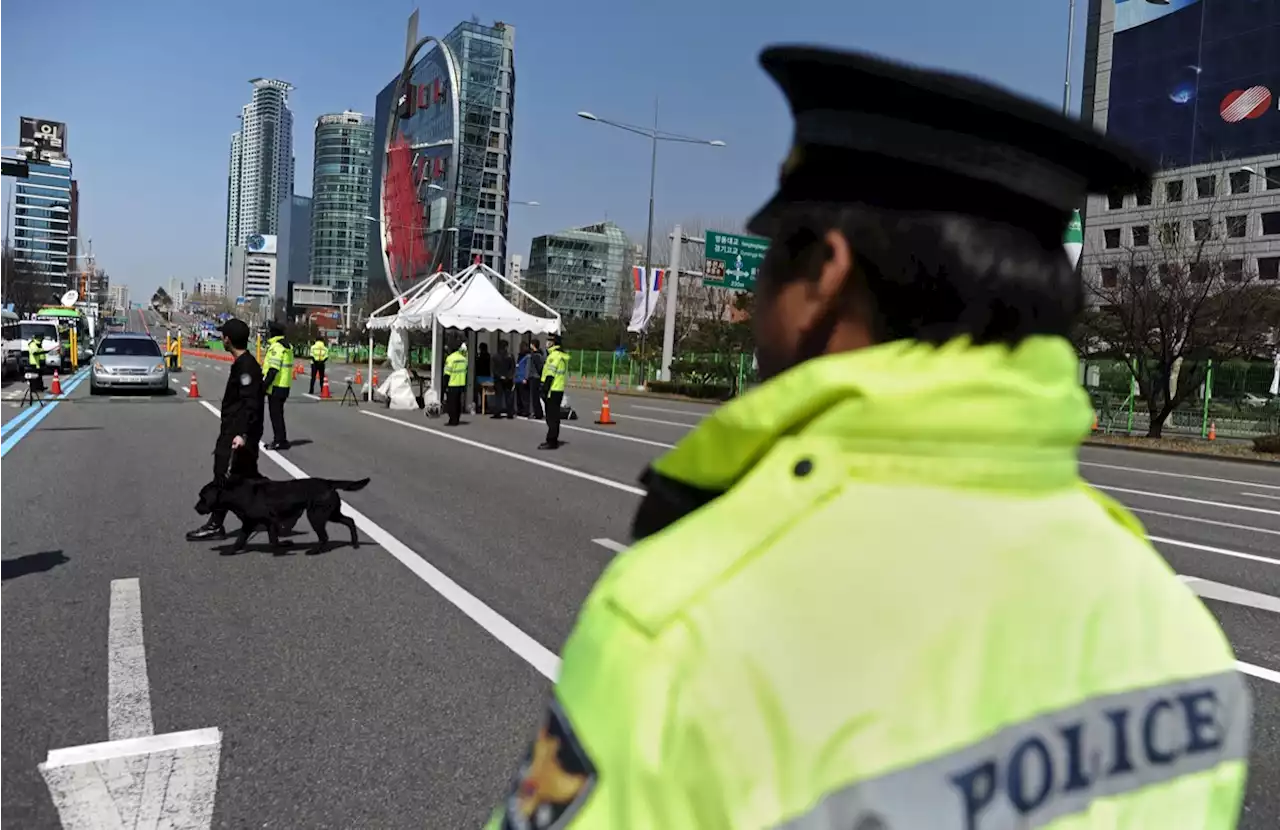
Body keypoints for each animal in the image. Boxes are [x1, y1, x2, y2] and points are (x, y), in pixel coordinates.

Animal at [194, 476, 368, 553]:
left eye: (202, 497)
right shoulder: (258, 523)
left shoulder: (260, 522)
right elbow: (268, 540)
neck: (237, 494)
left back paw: (314, 551)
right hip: (331, 513)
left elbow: (265, 540)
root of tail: (329, 482)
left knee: (324, 536)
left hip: (316, 515)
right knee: (350, 521)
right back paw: (355, 543)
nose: (195, 508)